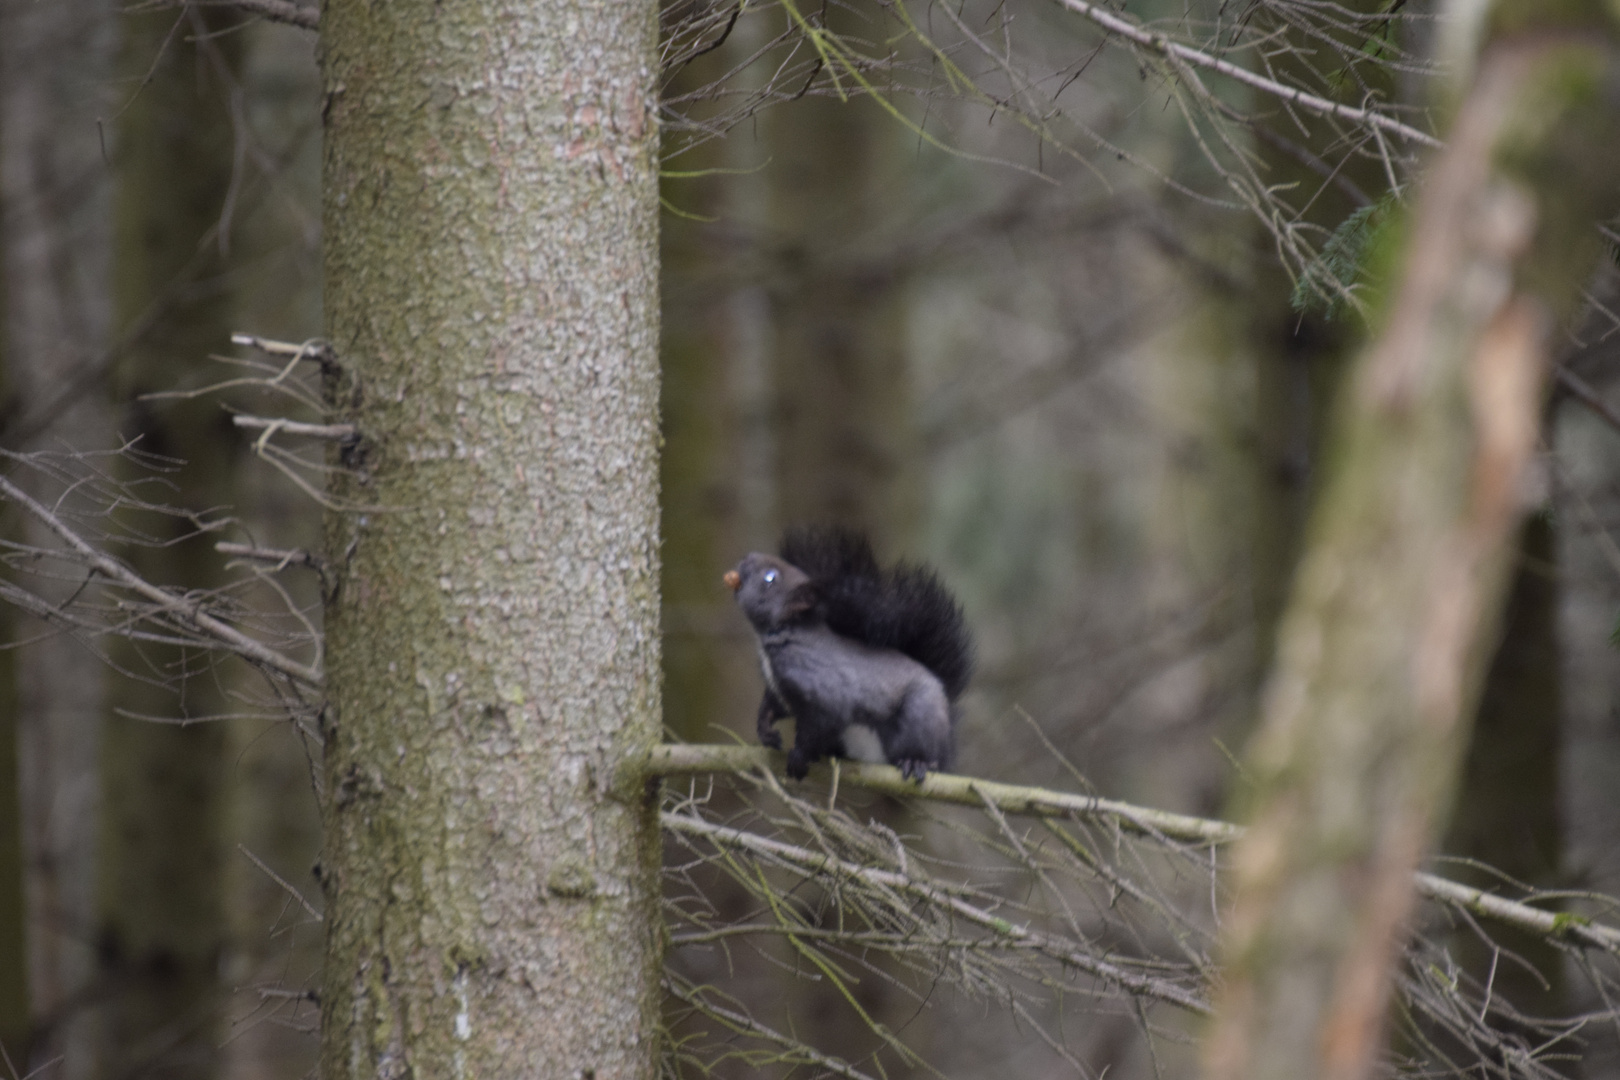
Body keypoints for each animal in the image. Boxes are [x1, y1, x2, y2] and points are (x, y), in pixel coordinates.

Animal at [725, 527, 972, 780]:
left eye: (770, 577)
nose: (747, 557)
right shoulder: (779, 687)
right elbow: (774, 705)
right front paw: (765, 729)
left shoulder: (820, 686)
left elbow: (823, 721)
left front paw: (799, 756)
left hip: (920, 718)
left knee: (929, 755)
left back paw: (917, 762)